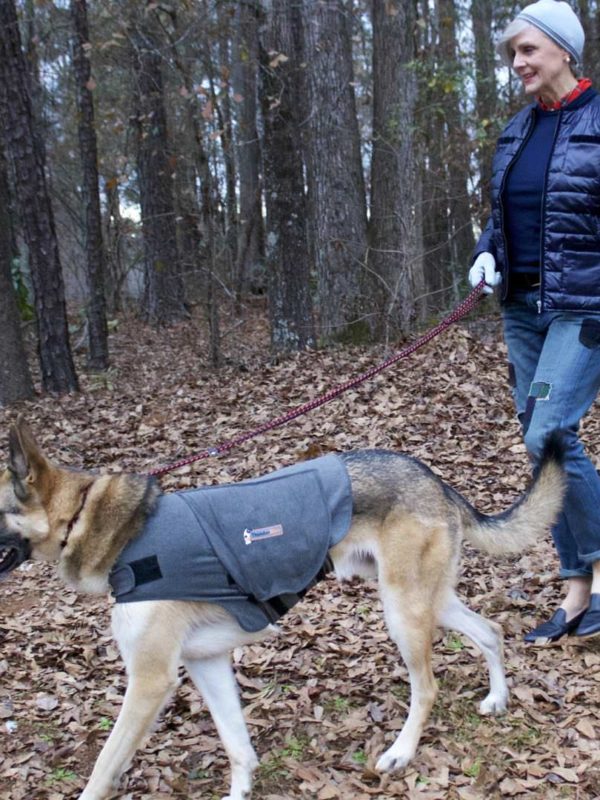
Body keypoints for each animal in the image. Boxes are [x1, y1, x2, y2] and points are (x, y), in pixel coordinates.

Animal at [0, 418, 564, 800]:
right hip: (428, 601)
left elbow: (102, 767)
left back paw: (401, 752)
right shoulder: (205, 664)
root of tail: (433, 478)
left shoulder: (150, 681)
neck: (99, 523)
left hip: (402, 612)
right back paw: (497, 698)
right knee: (490, 630)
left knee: (426, 687)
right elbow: (237, 746)